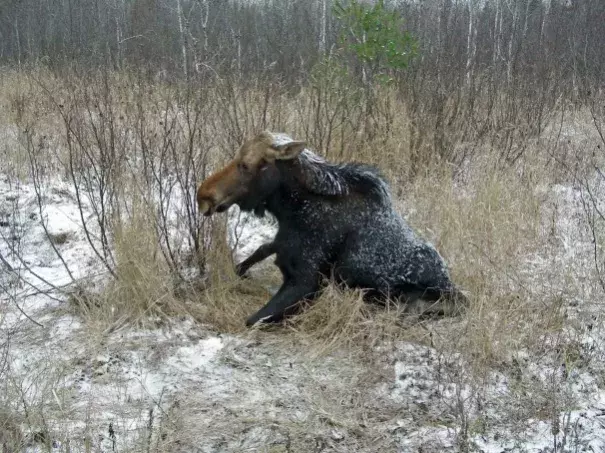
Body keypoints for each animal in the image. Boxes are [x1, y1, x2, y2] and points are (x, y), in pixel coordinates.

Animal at [198, 131, 468, 324]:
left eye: (245, 165)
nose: (203, 195)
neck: (291, 212)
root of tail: (451, 284)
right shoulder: (282, 244)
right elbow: (253, 255)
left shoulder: (307, 282)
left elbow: (252, 320)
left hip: (422, 299)